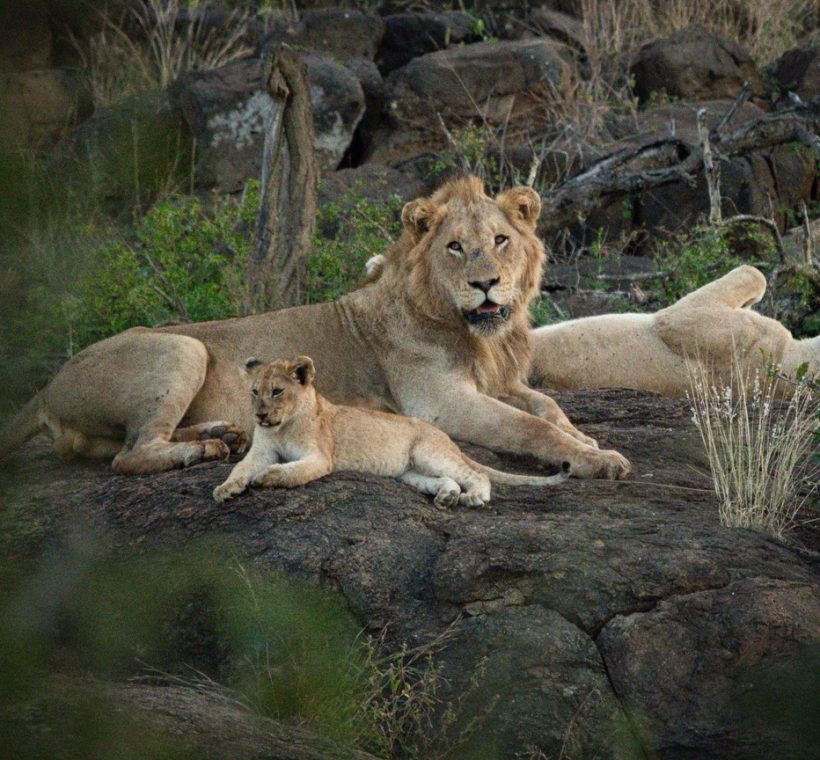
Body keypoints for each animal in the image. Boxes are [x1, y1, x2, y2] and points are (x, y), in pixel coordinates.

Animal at [0, 176, 629, 480]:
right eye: (455, 247)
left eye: (500, 240)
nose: (487, 284)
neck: (476, 334)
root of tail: (49, 385)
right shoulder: (438, 404)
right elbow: (530, 427)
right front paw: (594, 460)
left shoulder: (500, 382)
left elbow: (548, 408)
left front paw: (588, 439)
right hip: (181, 348)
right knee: (129, 455)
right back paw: (201, 451)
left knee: (128, 443)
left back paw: (225, 433)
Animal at [213, 356, 570, 508]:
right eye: (254, 392)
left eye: (276, 392)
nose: (259, 416)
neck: (282, 426)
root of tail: (445, 437)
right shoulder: (261, 449)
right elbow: (240, 467)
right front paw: (226, 488)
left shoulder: (320, 457)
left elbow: (291, 471)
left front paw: (268, 477)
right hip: (410, 472)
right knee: (446, 479)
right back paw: (447, 496)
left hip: (427, 452)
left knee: (477, 474)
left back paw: (474, 498)